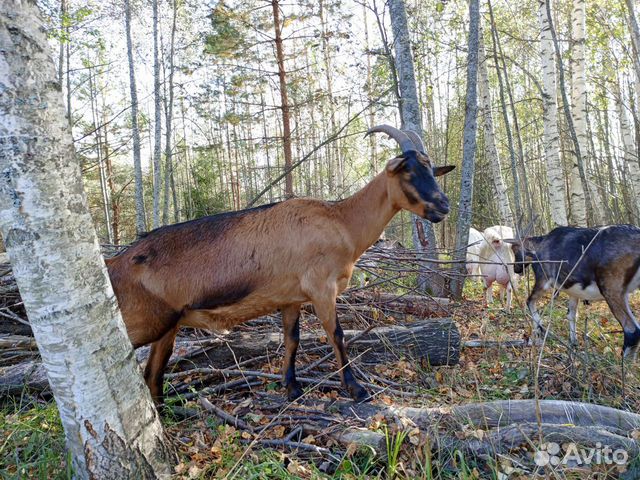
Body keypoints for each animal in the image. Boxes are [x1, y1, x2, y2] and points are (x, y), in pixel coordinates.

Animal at [106, 125, 456, 404]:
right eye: (408, 171)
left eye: (432, 170)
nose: (443, 206)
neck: (341, 221)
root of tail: (113, 262)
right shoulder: (322, 289)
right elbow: (337, 334)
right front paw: (356, 390)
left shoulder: (291, 298)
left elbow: (292, 340)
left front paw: (292, 389)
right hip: (141, 322)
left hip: (168, 326)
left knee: (152, 375)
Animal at [504, 224, 640, 356]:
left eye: (514, 249)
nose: (516, 269)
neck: (539, 247)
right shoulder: (574, 291)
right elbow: (571, 315)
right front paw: (573, 343)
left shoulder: (544, 280)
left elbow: (529, 301)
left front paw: (539, 331)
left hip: (611, 288)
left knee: (632, 330)